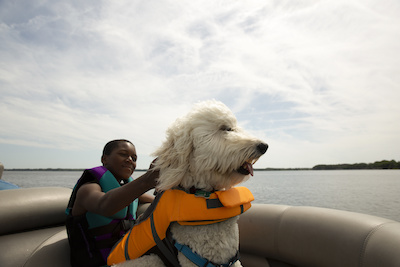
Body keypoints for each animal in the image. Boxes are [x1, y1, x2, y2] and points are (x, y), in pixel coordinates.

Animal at [114, 101, 268, 267]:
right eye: (225, 128)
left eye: (232, 128)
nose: (264, 146)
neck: (203, 194)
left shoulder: (233, 261)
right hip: (152, 259)